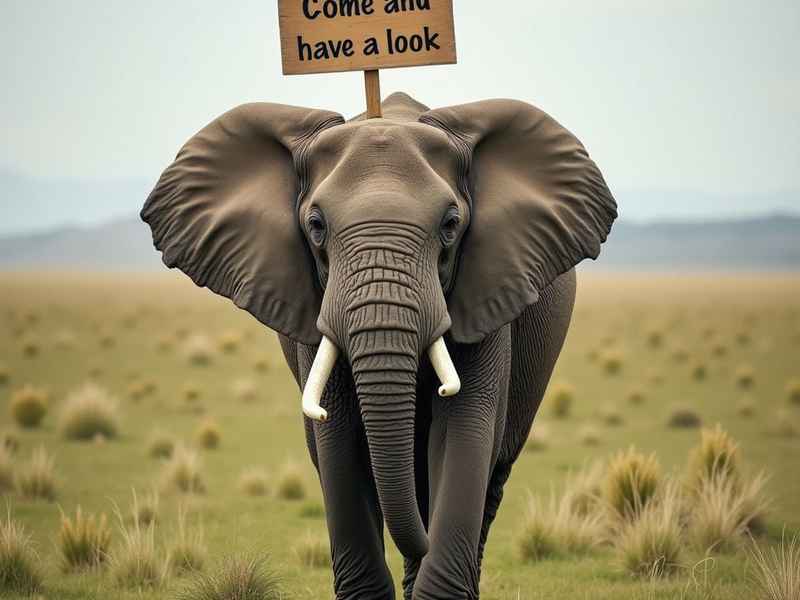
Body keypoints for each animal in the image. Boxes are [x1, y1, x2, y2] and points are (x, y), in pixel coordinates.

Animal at [141, 91, 616, 599]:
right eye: (315, 226)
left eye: (451, 224)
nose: (424, 541)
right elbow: (338, 437)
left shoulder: (489, 286)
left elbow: (465, 427)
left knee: (488, 476)